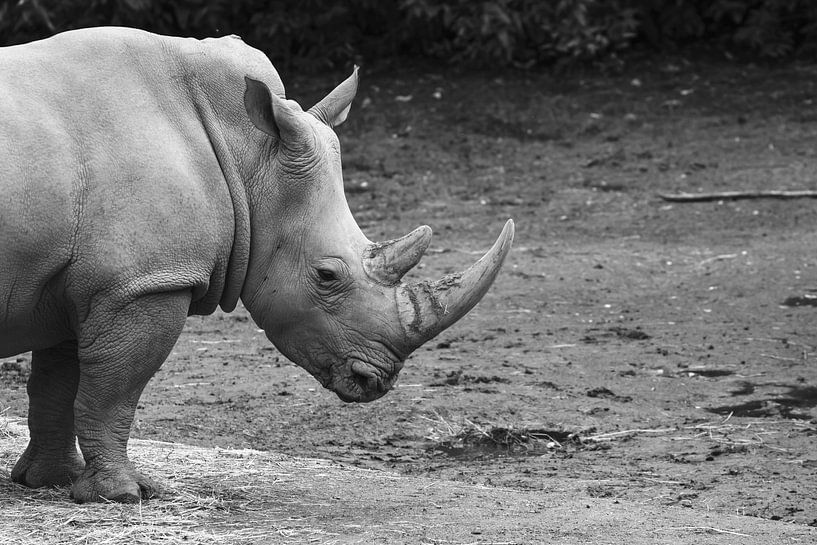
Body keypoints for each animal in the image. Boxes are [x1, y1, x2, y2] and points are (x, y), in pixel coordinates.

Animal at [0, 25, 512, 502]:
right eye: (327, 276)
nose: (375, 380)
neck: (245, 151)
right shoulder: (144, 282)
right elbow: (113, 391)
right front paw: (125, 494)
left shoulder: (87, 282)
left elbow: (58, 385)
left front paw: (50, 481)